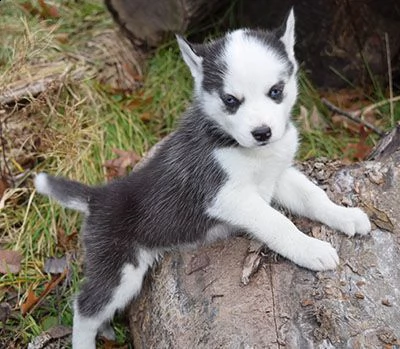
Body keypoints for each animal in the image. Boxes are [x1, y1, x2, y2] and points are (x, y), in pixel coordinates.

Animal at [34, 10, 372, 348]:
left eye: (276, 91)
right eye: (231, 100)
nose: (262, 133)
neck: (239, 146)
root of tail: (99, 196)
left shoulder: (278, 175)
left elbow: (313, 196)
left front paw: (345, 215)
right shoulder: (227, 196)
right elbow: (278, 223)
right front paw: (311, 249)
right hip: (119, 270)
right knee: (84, 308)